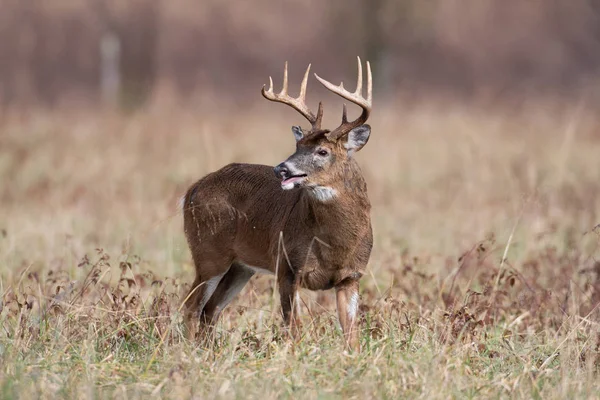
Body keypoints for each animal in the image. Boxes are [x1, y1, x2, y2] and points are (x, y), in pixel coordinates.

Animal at [180, 56, 372, 350]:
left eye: (322, 151)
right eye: (298, 146)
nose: (281, 168)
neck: (334, 245)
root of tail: (192, 189)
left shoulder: (351, 276)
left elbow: (352, 335)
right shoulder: (287, 265)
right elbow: (294, 328)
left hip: (240, 266)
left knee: (211, 309)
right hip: (209, 251)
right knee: (192, 307)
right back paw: (191, 352)